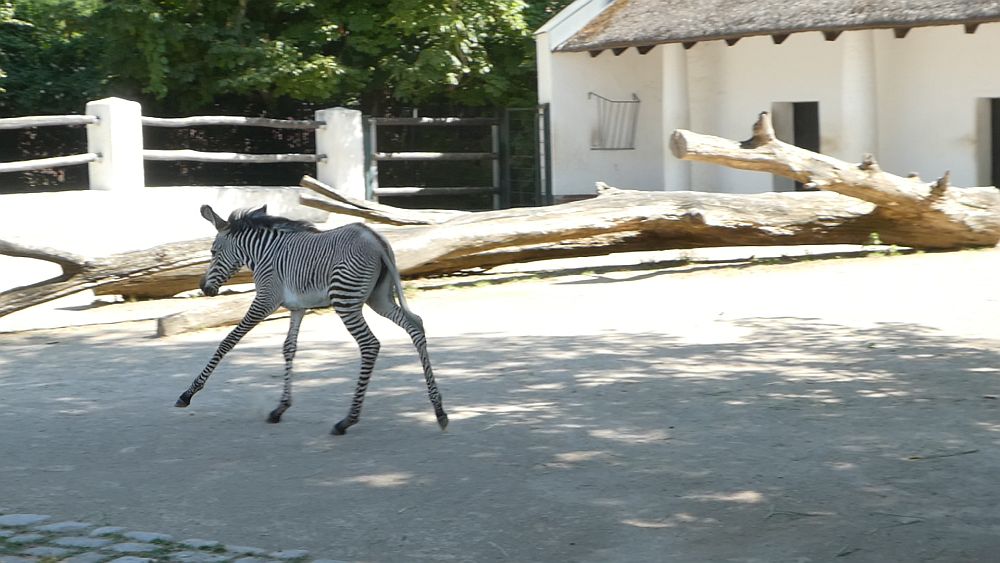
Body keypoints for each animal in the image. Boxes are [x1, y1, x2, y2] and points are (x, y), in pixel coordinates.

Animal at [174, 204, 448, 436]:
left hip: (346, 301)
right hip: (379, 298)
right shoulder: (298, 308)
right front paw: (280, 408)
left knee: (370, 345)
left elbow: (229, 340)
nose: (204, 288)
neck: (263, 253)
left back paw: (347, 421)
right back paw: (439, 411)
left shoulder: (265, 301)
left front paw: (188, 394)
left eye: (213, 252)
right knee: (416, 325)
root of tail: (376, 239)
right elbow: (289, 348)